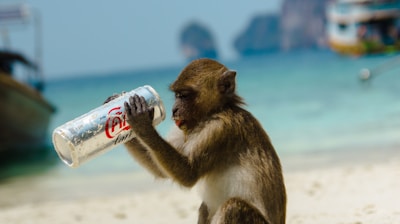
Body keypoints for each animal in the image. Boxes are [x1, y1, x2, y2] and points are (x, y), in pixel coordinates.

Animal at [114, 58, 286, 223]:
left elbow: (189, 174)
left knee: (232, 206)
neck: (215, 112)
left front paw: (141, 122)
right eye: (177, 95)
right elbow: (161, 170)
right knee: (207, 207)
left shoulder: (220, 129)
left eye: (184, 95)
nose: (174, 110)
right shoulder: (183, 128)